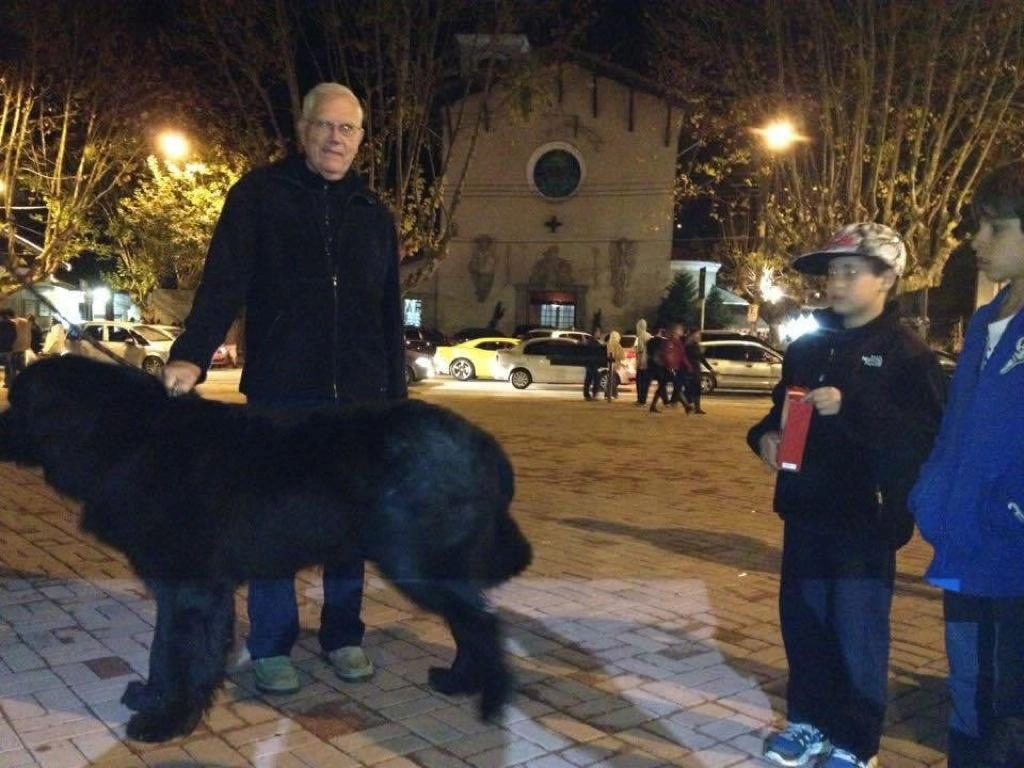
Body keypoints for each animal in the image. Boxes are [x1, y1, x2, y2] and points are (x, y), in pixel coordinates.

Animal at [0, 358, 528, 741]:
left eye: (16, 401)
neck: (126, 437)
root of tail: (484, 444)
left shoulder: (190, 589)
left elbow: (177, 653)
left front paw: (167, 722)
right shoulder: (188, 591)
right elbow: (166, 652)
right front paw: (157, 700)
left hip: (415, 565)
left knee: (481, 622)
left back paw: (491, 702)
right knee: (469, 623)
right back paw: (458, 682)